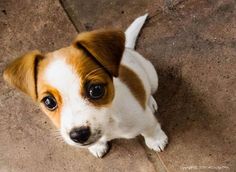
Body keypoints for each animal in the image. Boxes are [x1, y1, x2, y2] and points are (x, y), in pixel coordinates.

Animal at [2, 14, 168, 158]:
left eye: (96, 90)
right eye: (49, 102)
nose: (79, 135)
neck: (110, 121)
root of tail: (127, 50)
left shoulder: (143, 118)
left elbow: (150, 128)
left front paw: (156, 140)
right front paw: (97, 146)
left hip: (152, 76)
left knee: (149, 90)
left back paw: (150, 101)